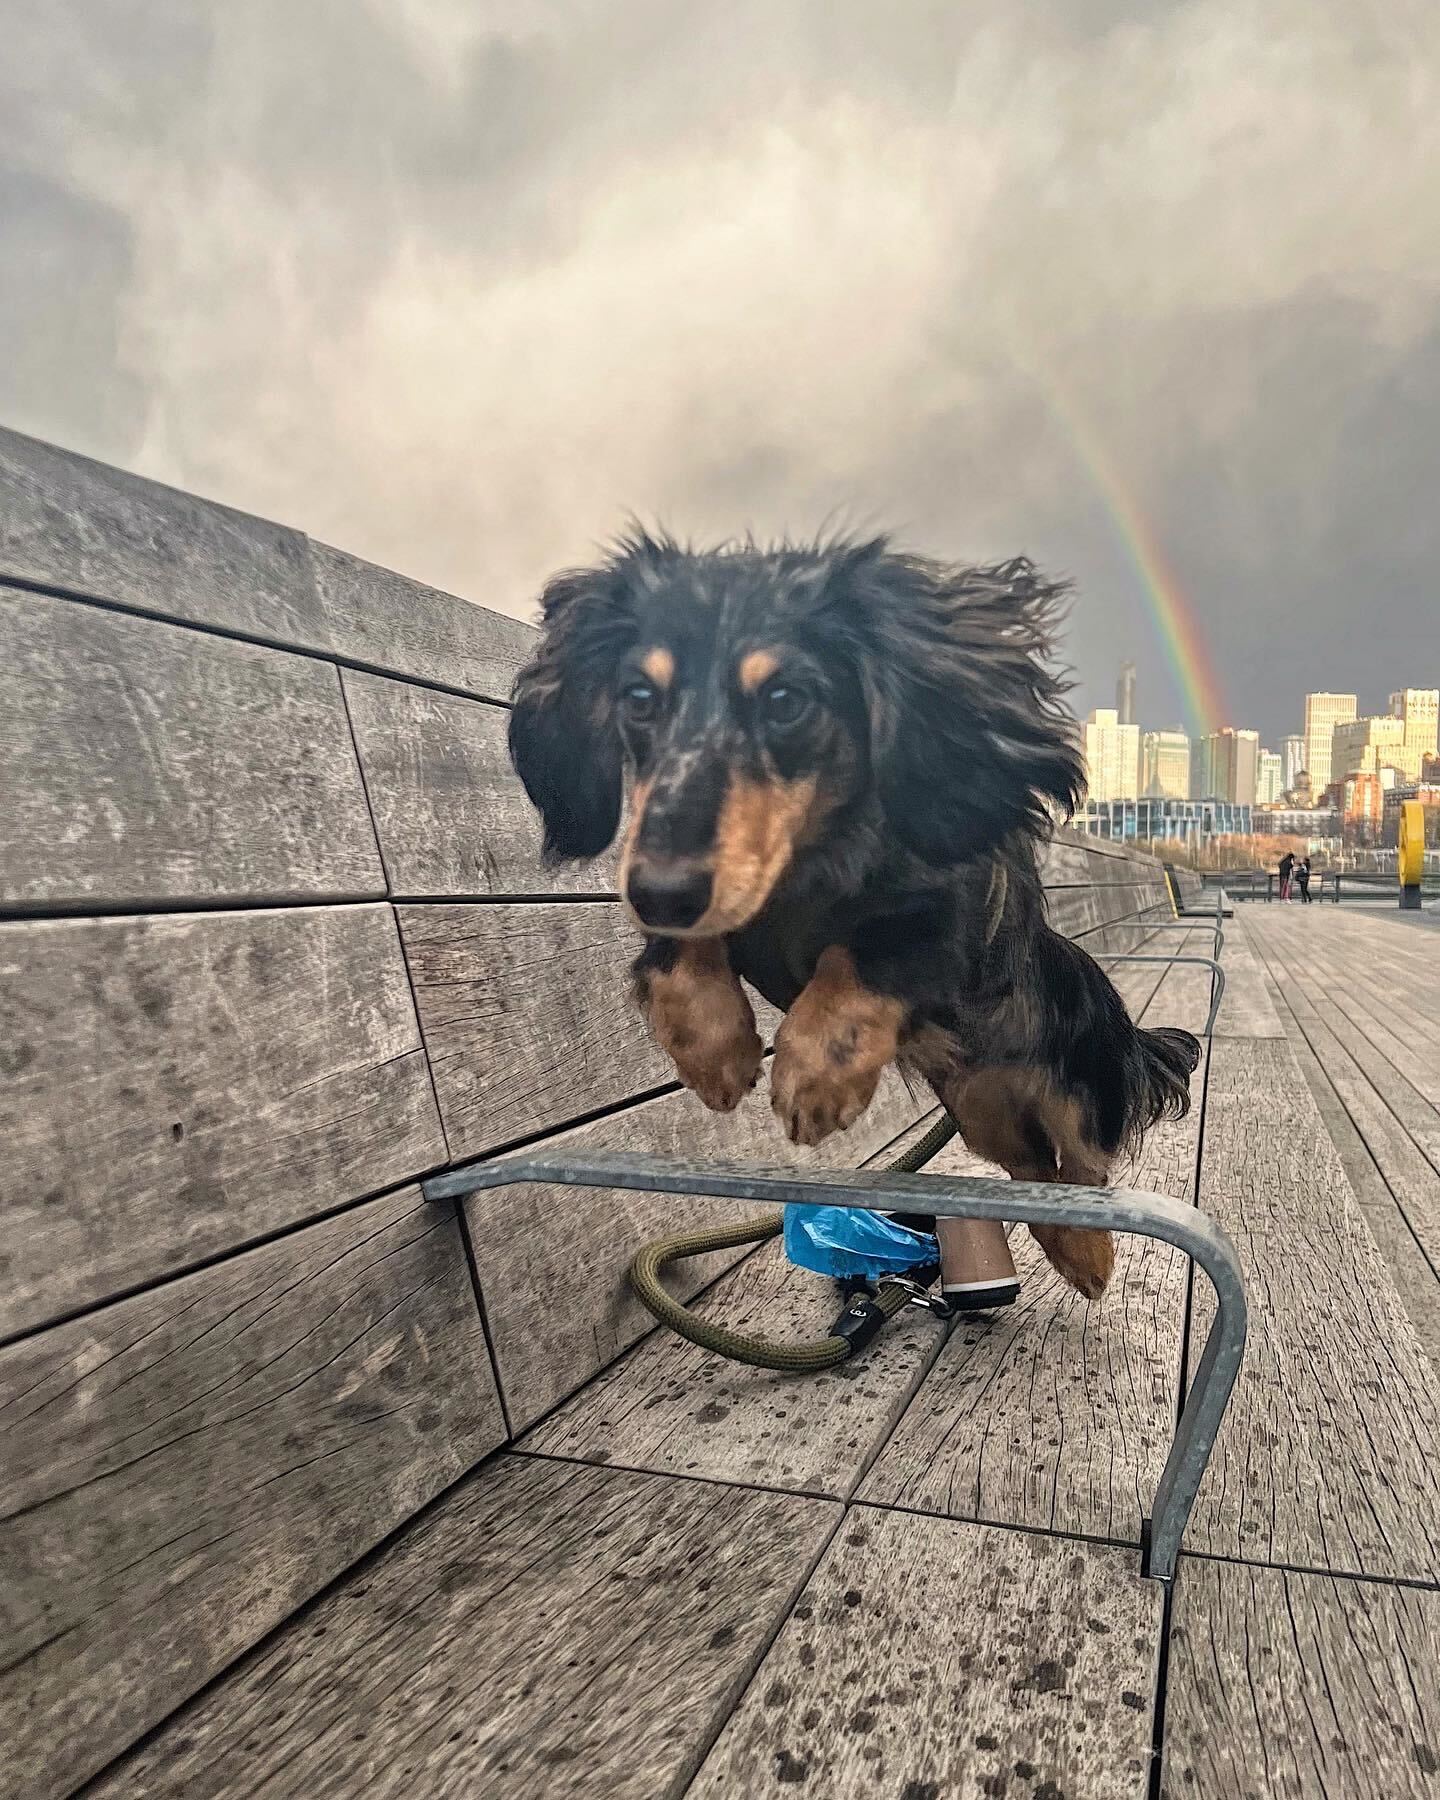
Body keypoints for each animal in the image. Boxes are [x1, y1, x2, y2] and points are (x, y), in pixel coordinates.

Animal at [507, 525, 1202, 1303]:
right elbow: (682, 957)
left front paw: (816, 1077)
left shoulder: (949, 919)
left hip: (1079, 1082)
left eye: (786, 698)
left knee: (1084, 1165)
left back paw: (1087, 1251)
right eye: (638, 696)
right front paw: (714, 1051)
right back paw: (1060, 1241)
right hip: (983, 1110)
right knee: (1031, 1169)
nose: (660, 892)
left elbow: (861, 955)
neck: (806, 859)